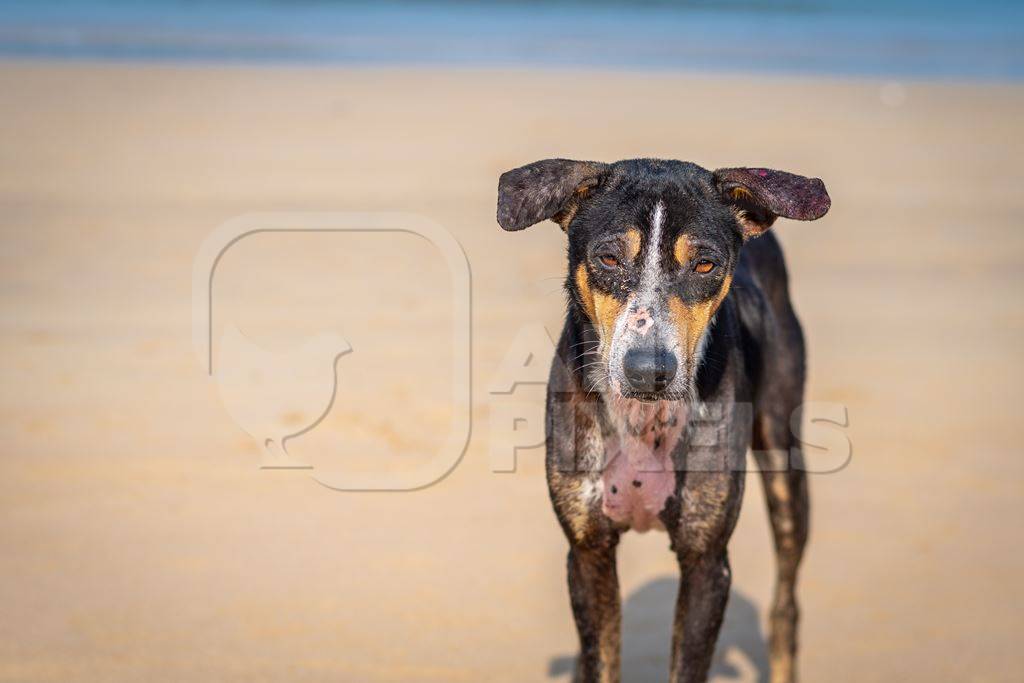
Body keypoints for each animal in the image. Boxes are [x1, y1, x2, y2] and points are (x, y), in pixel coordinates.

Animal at [495, 157, 831, 679]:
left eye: (705, 264)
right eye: (609, 259)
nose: (647, 370)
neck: (643, 419)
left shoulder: (707, 561)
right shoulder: (588, 551)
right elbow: (599, 659)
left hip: (783, 459)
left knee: (785, 608)